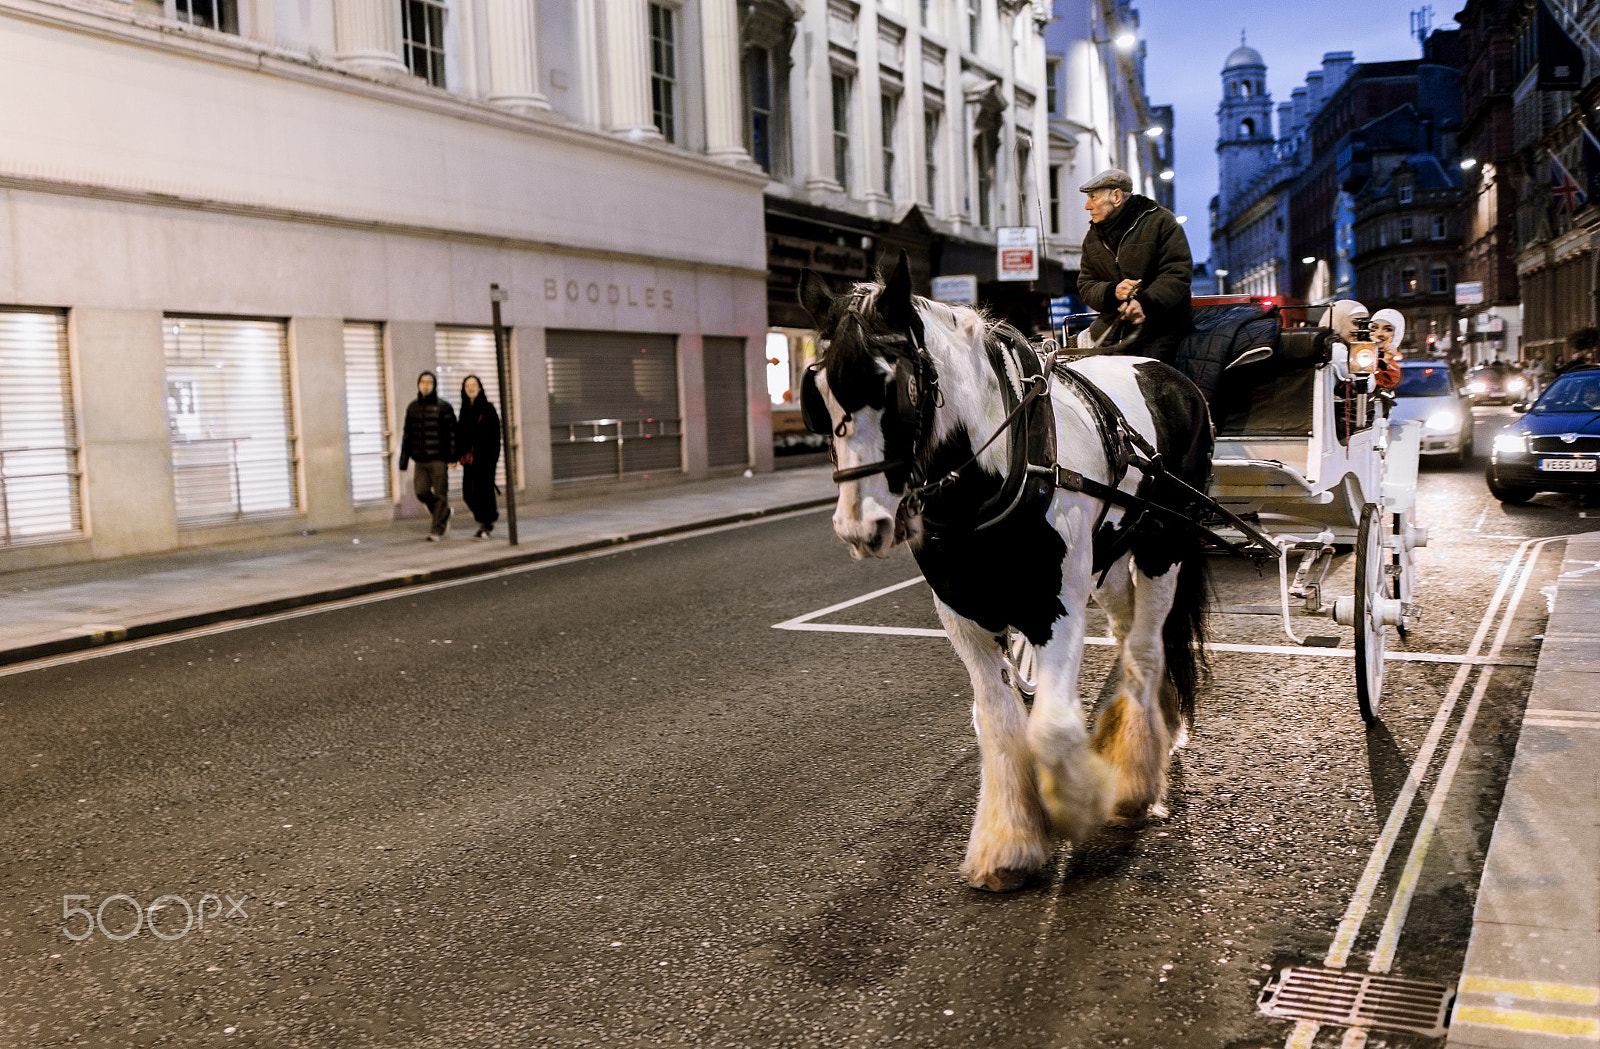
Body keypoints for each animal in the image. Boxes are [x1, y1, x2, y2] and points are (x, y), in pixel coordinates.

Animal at [800, 255, 1209, 895]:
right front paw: (1009, 843)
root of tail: (1170, 376)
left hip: (1163, 547)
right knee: (1130, 636)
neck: (994, 470)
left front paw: (1078, 800)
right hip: (1111, 561)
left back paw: (1136, 784)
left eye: (893, 386)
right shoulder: (962, 611)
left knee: (1146, 646)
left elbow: (1052, 729)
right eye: (816, 393)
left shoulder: (1055, 604)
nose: (859, 526)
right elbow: (997, 720)